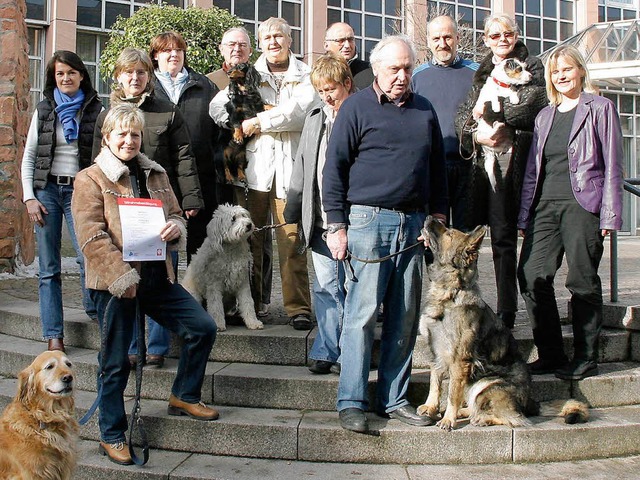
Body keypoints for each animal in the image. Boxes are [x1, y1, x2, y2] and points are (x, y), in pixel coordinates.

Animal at [182, 202, 264, 330]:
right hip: (194, 294)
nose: (249, 225)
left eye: (243, 215)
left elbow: (248, 303)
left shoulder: (243, 282)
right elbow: (215, 306)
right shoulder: (214, 285)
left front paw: (253, 323)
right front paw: (218, 324)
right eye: (233, 219)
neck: (232, 249)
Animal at [418, 218, 588, 432]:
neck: (451, 292)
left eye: (449, 233)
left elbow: (451, 394)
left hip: (486, 385)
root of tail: (529, 402)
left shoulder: (459, 361)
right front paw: (431, 407)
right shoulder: (436, 352)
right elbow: (435, 383)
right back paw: (468, 413)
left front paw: (448, 419)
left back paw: (482, 419)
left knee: (514, 418)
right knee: (480, 407)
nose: (429, 217)